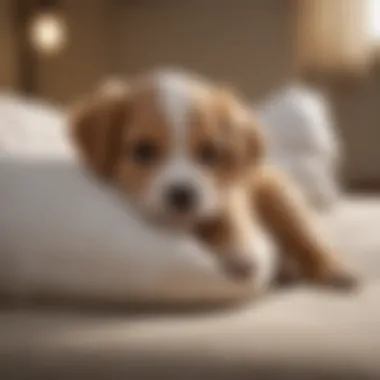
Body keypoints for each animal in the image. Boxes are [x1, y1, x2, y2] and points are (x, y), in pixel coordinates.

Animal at [70, 69, 358, 288]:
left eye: (210, 152)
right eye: (143, 151)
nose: (182, 194)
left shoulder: (231, 188)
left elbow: (229, 209)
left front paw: (239, 250)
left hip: (280, 197)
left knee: (307, 238)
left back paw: (334, 269)